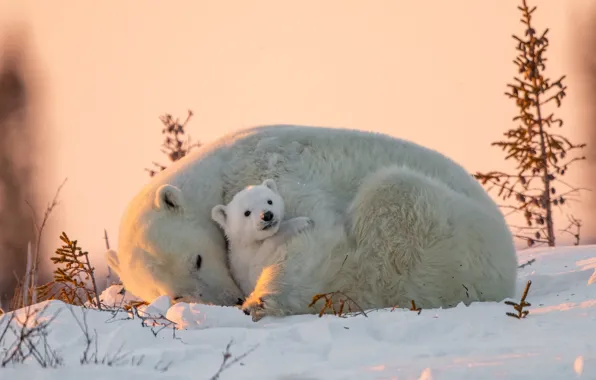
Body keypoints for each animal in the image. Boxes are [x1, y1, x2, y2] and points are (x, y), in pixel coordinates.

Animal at [108, 124, 516, 318]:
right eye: (176, 294)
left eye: (197, 259)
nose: (229, 300)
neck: (221, 170)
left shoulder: (271, 168)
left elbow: (316, 234)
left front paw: (262, 300)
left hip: (454, 236)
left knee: (392, 199)